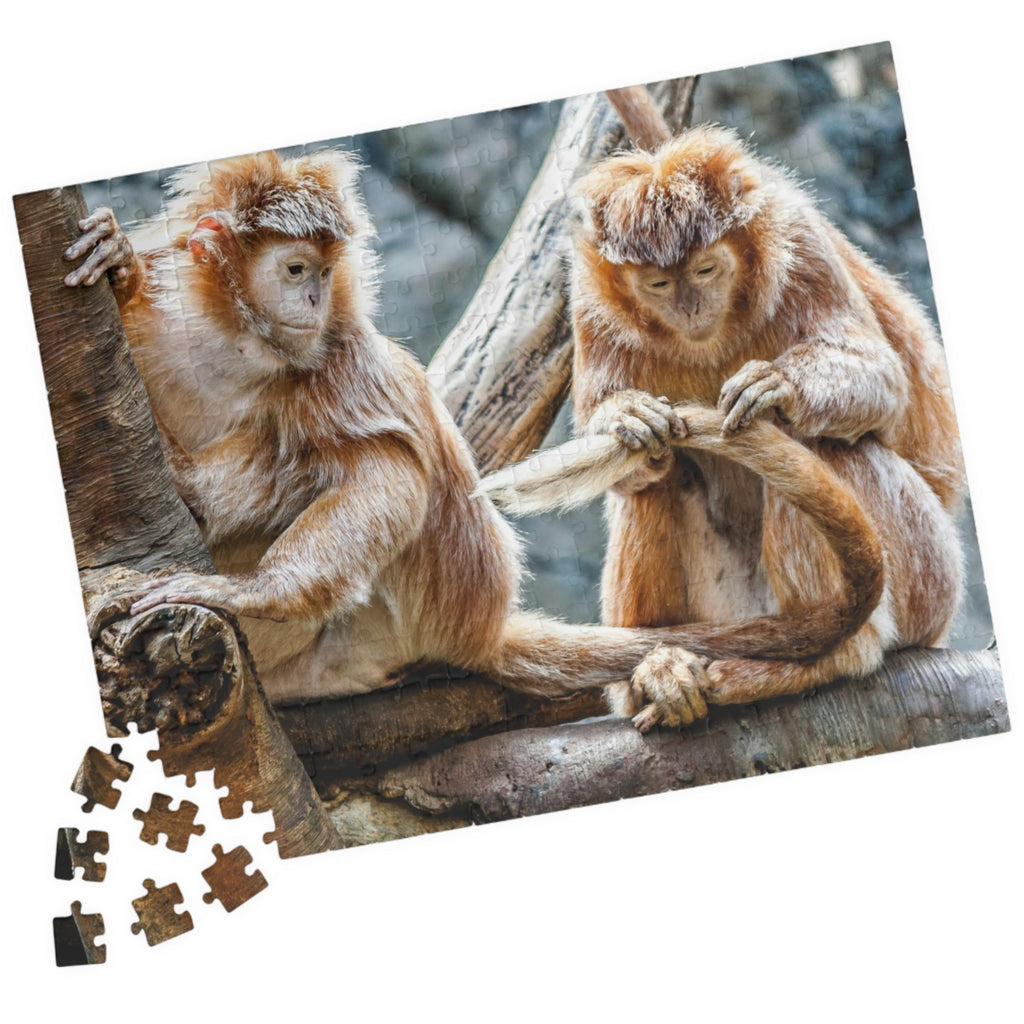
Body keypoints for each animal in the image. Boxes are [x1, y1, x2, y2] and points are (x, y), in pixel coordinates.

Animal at [64, 146, 888, 711]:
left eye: (320, 274)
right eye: (295, 269)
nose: (313, 299)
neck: (236, 343)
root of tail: (474, 628)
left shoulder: (335, 356)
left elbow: (388, 474)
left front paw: (248, 591)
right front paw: (118, 263)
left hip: (388, 618)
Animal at [483, 124, 965, 731]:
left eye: (706, 270)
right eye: (659, 284)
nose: (690, 307)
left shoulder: (800, 242)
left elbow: (884, 380)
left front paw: (779, 386)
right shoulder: (590, 297)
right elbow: (624, 455)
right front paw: (626, 417)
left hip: (930, 575)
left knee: (825, 444)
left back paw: (833, 654)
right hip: (725, 610)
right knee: (656, 477)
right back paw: (653, 670)